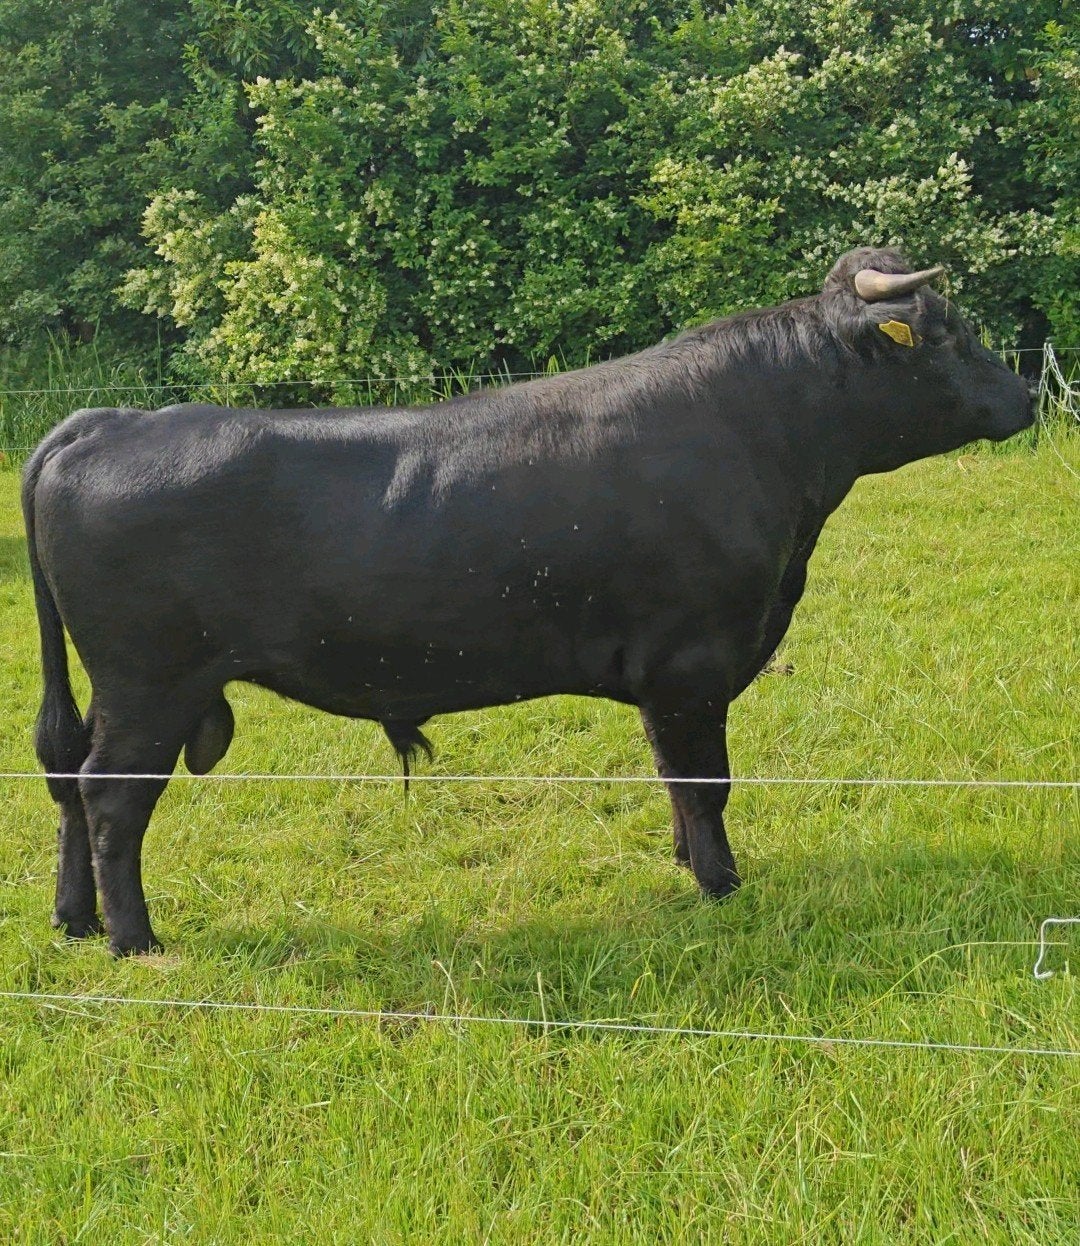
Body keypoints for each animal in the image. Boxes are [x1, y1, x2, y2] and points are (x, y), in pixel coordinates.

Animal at [22, 247, 1033, 956]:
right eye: (949, 334)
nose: (1026, 397)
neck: (767, 437)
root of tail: (106, 421)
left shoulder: (667, 680)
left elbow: (674, 779)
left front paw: (686, 865)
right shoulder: (693, 663)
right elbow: (706, 782)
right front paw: (722, 888)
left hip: (117, 690)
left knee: (67, 780)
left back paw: (74, 921)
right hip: (151, 684)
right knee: (109, 797)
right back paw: (135, 940)